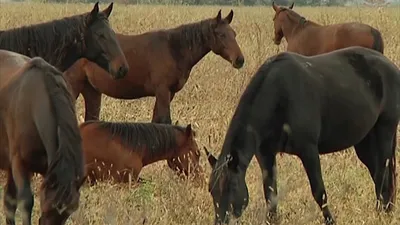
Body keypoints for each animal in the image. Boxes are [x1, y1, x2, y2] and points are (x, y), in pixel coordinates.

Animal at [70, 9, 244, 124]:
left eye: (234, 34)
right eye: (221, 35)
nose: (239, 60)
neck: (174, 48)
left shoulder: (168, 93)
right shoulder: (162, 91)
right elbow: (165, 120)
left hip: (92, 91)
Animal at [205, 45, 398, 225]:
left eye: (231, 186)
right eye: (211, 190)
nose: (221, 221)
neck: (278, 95)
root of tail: (391, 66)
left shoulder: (309, 151)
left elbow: (319, 192)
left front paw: (330, 220)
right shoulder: (265, 155)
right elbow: (270, 193)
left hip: (384, 131)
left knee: (383, 174)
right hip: (365, 141)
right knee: (377, 174)